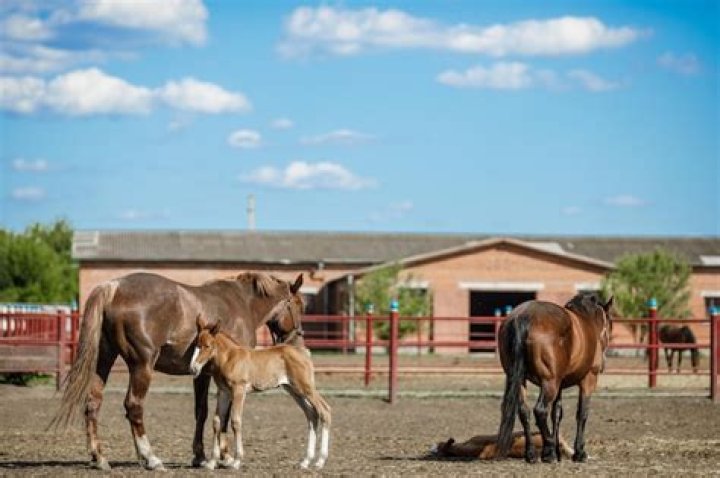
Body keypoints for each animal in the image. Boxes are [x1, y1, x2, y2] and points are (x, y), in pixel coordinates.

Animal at [51, 271, 305, 470]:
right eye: (299, 305)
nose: (298, 337)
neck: (243, 303)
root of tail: (114, 287)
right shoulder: (227, 380)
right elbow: (223, 415)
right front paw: (225, 456)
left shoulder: (202, 374)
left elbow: (202, 412)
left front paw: (200, 456)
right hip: (142, 365)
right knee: (134, 406)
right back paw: (151, 458)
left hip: (104, 360)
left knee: (93, 403)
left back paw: (100, 458)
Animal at [191, 314, 331, 470]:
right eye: (196, 344)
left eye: (207, 346)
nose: (194, 368)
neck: (229, 358)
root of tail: (304, 353)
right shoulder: (223, 393)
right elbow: (217, 422)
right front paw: (211, 462)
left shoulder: (238, 390)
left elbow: (235, 421)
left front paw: (237, 460)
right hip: (294, 391)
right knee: (311, 414)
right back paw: (306, 460)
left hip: (306, 388)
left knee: (324, 411)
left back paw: (320, 461)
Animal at [496, 292, 613, 463]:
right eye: (609, 324)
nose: (604, 363)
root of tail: (522, 316)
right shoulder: (588, 380)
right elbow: (582, 413)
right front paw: (579, 452)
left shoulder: (560, 384)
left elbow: (557, 413)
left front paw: (558, 451)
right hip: (549, 383)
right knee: (540, 410)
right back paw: (548, 449)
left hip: (521, 380)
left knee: (524, 411)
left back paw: (532, 454)